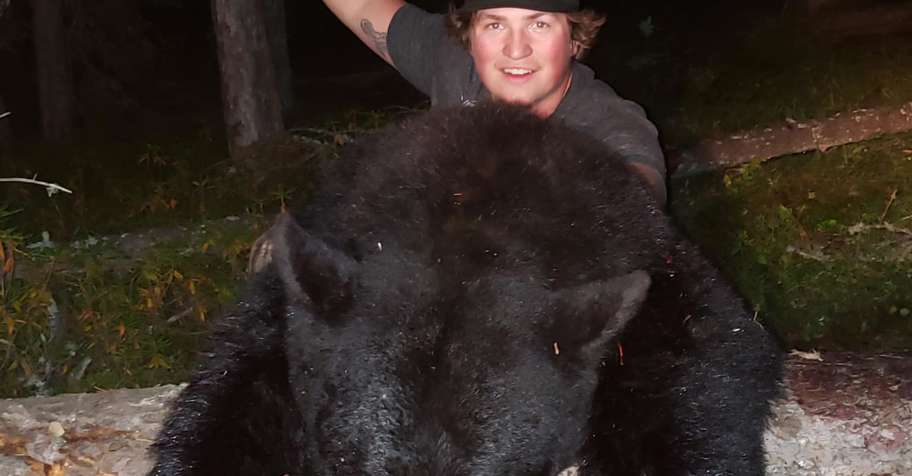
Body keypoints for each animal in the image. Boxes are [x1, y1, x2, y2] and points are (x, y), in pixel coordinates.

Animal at [149, 104, 783, 476]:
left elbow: (696, 373)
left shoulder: (644, 260)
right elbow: (235, 396)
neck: (472, 223)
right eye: (356, 465)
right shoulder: (306, 279)